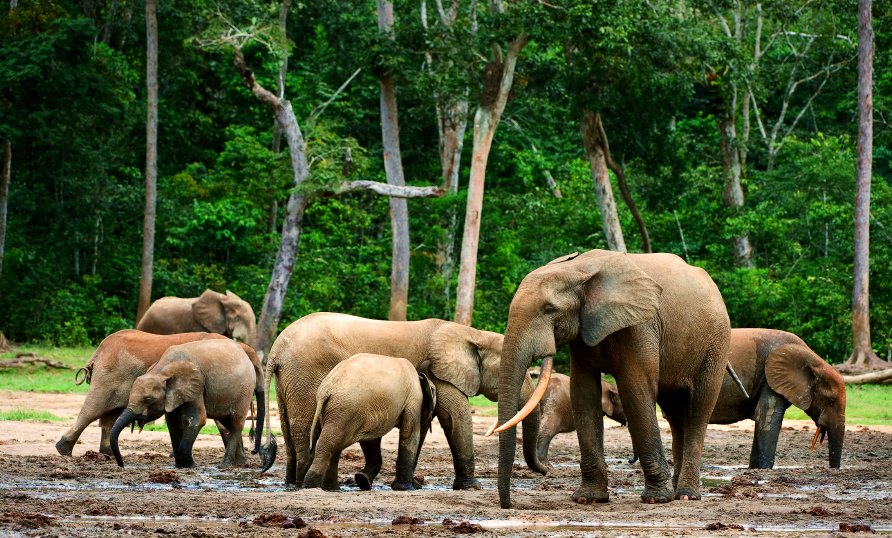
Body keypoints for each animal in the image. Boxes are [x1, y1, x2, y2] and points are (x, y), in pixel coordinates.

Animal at [55, 326, 228, 456]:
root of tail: (98, 352)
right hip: (108, 377)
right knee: (93, 410)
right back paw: (64, 450)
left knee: (109, 416)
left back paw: (107, 454)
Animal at [107, 340, 262, 468]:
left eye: (148, 399)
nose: (122, 465)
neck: (162, 370)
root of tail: (244, 349)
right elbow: (173, 422)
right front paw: (179, 466)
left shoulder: (196, 386)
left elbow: (196, 419)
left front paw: (192, 466)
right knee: (228, 422)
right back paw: (241, 463)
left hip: (244, 390)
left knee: (235, 423)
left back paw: (224, 465)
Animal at [304, 352, 438, 490]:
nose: (418, 485)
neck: (420, 376)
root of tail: (326, 390)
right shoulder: (414, 398)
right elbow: (409, 434)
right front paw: (405, 489)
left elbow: (370, 440)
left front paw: (362, 480)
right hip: (346, 409)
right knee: (329, 445)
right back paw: (311, 486)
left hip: (339, 411)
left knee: (334, 446)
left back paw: (332, 489)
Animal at [494, 249, 732, 504]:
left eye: (549, 309)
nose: (509, 505)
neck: (578, 268)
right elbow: (583, 392)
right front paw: (588, 499)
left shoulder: (640, 325)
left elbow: (635, 389)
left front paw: (656, 499)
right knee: (675, 414)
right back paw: (679, 492)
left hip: (716, 343)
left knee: (698, 409)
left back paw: (687, 495)